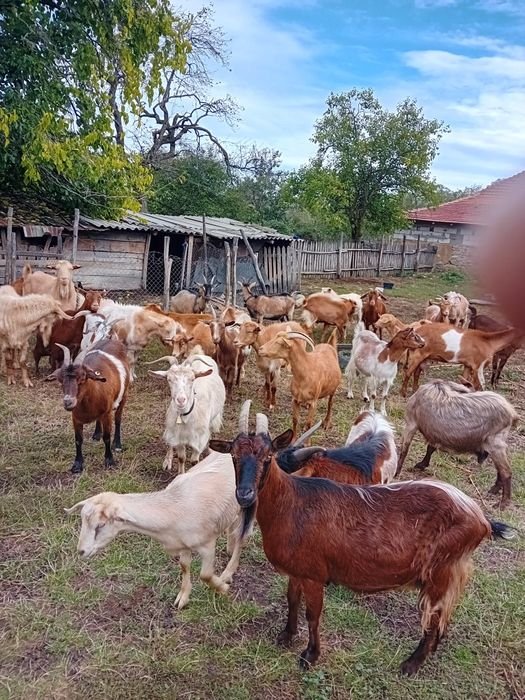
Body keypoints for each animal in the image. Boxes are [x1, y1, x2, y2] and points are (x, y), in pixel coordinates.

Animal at [46, 338, 131, 473]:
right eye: (61, 381)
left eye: (82, 379)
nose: (68, 402)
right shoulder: (75, 418)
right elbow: (78, 440)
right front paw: (77, 464)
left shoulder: (107, 413)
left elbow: (107, 437)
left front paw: (109, 460)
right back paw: (96, 434)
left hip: (124, 395)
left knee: (118, 419)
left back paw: (117, 444)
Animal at [65, 450, 244, 609]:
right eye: (82, 520)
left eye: (100, 525)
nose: (80, 551)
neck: (173, 508)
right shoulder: (183, 544)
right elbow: (184, 566)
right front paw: (183, 597)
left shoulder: (207, 545)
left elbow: (205, 575)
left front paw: (222, 588)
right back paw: (229, 546)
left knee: (241, 536)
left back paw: (228, 571)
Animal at [210, 401, 515, 675]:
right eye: (234, 457)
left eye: (268, 457)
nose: (245, 494)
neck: (292, 503)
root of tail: (480, 518)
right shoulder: (298, 570)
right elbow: (292, 600)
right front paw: (286, 636)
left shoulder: (315, 575)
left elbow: (313, 614)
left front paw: (310, 655)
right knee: (441, 620)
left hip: (441, 572)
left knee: (434, 619)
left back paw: (410, 665)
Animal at [396, 379, 518, 509]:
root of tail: (511, 412)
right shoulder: (435, 433)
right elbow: (430, 448)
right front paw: (422, 464)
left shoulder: (411, 423)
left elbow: (404, 449)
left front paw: (397, 472)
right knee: (501, 469)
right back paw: (494, 490)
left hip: (495, 444)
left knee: (506, 472)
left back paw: (503, 503)